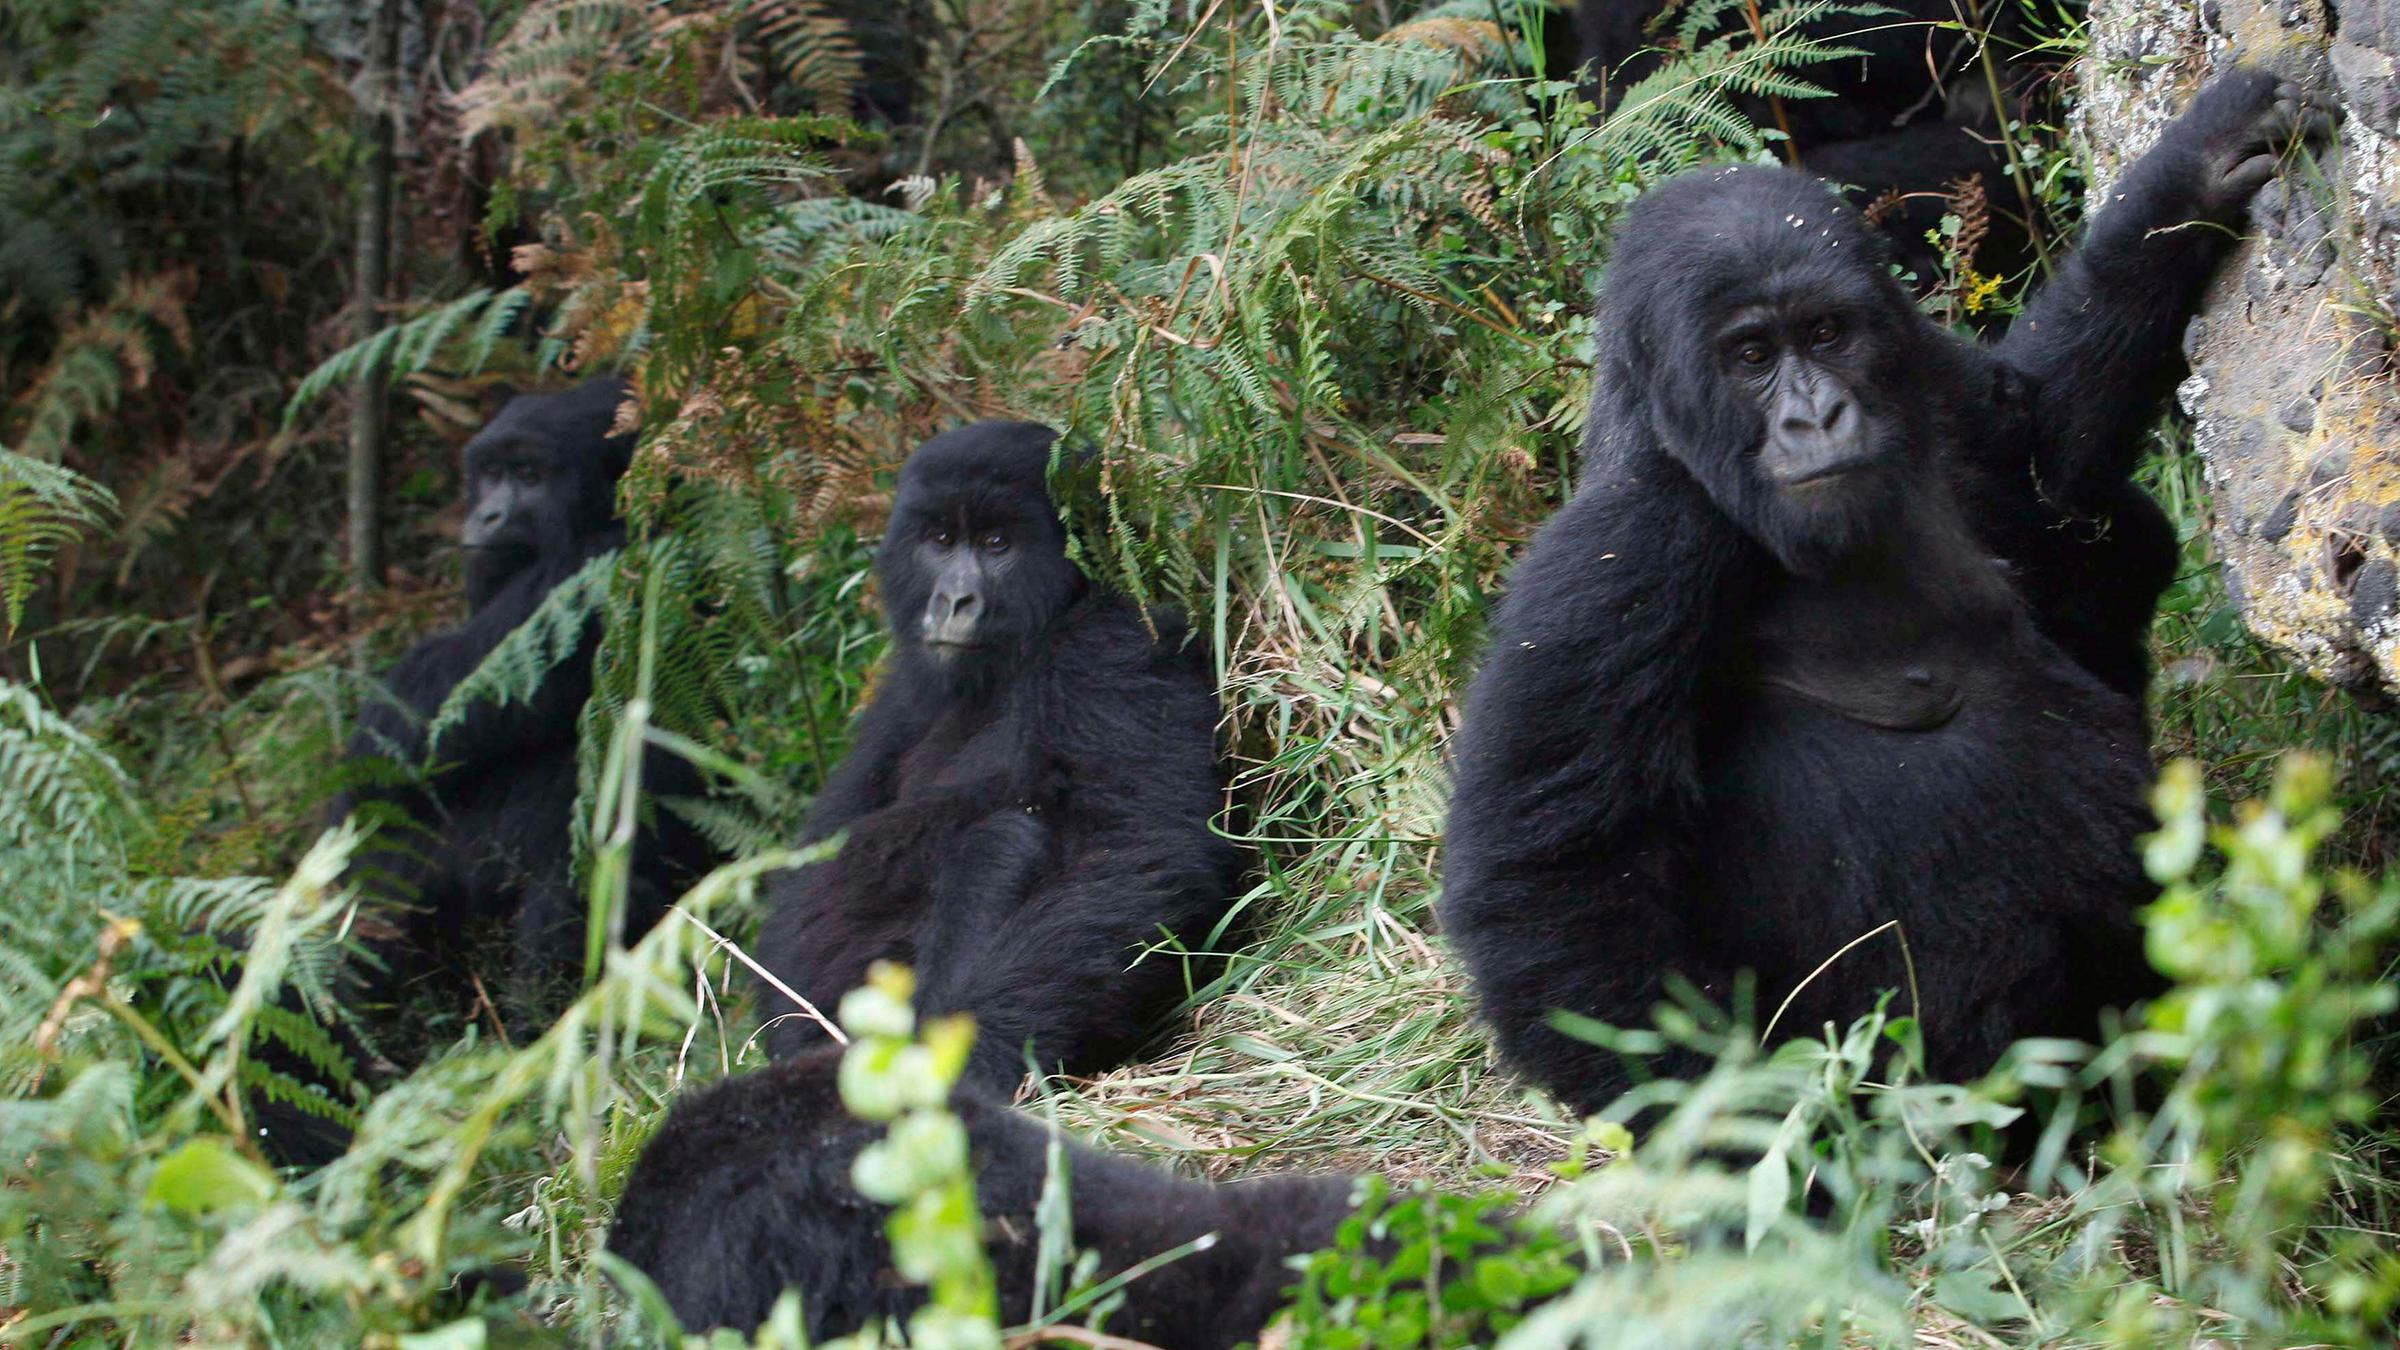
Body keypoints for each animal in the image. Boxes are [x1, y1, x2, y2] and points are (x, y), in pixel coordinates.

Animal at [753, 425, 1248, 1085]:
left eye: (996, 544)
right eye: (941, 542)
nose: (953, 600)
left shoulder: (1112, 648)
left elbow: (1135, 849)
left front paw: (972, 1061)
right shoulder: (902, 689)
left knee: (1002, 842)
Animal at [1440, 68, 2323, 1109]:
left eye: (1828, 334)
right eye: (1751, 356)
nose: (1817, 416)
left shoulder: (1940, 395)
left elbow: (2049, 445)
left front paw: (2192, 172)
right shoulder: (1626, 550)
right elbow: (1555, 890)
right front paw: (1744, 1130)